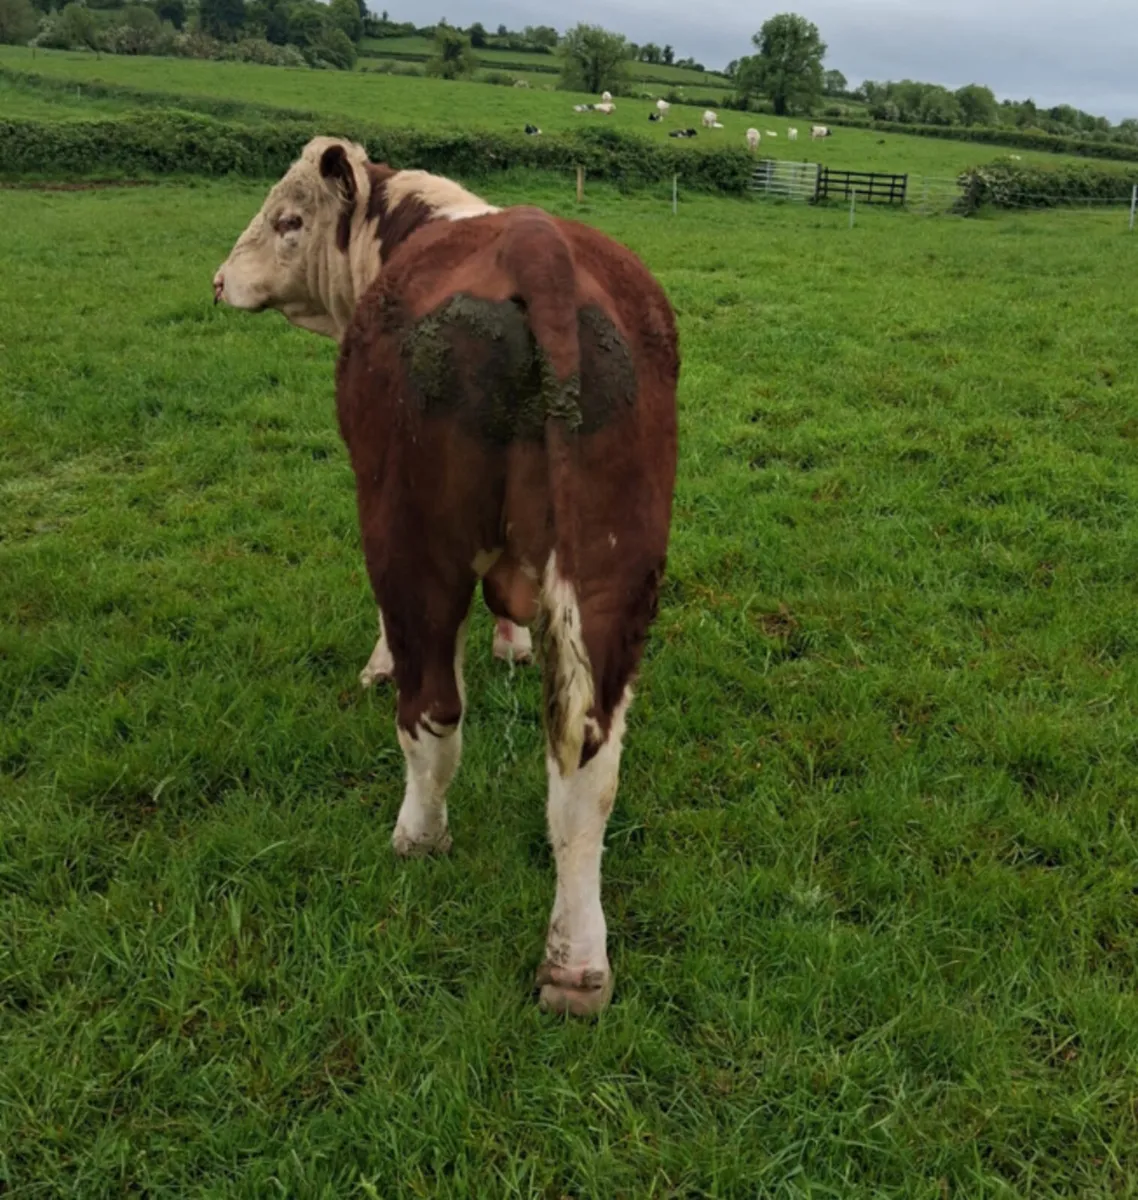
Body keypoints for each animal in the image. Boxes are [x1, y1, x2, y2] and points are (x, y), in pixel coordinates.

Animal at [212, 137, 679, 1017]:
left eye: (287, 219)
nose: (221, 279)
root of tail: (538, 244)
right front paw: (511, 643)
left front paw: (378, 663)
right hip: (615, 570)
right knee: (587, 767)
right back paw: (576, 966)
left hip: (411, 541)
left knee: (431, 708)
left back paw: (419, 836)